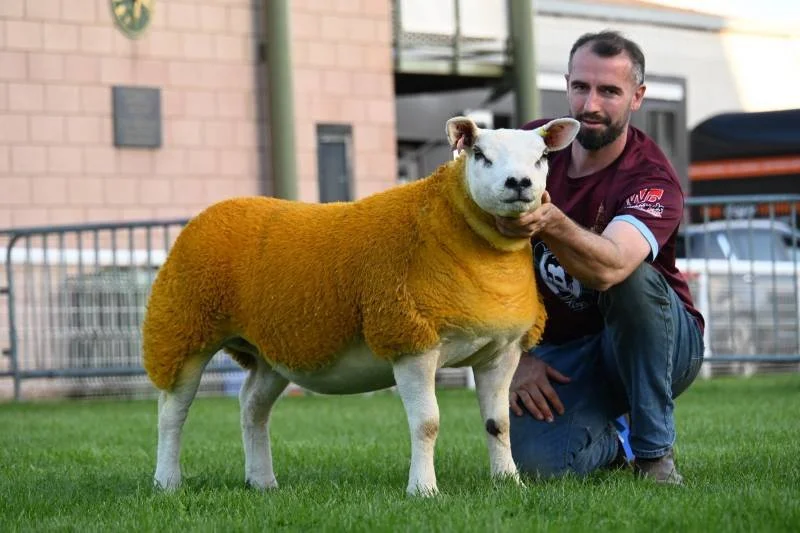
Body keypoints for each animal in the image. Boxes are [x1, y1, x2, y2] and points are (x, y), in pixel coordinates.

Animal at [142, 115, 580, 496]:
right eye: (479, 154)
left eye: (542, 156)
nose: (519, 182)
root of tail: (212, 211)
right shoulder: (410, 340)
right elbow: (427, 424)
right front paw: (424, 490)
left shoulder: (501, 352)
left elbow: (498, 424)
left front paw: (510, 482)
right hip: (182, 327)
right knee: (171, 412)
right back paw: (167, 482)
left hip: (272, 349)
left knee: (252, 406)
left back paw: (262, 481)